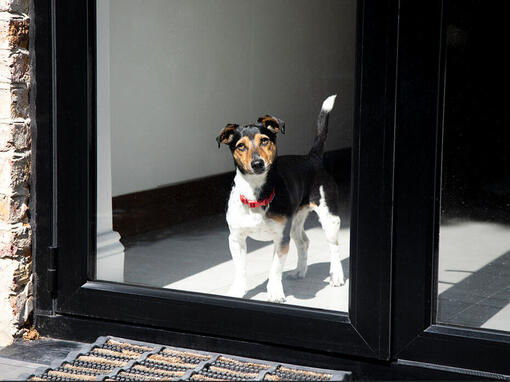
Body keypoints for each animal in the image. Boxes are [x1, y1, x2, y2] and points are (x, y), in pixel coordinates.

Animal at [215, 95, 342, 302]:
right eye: (240, 146)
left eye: (264, 141)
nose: (257, 163)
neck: (256, 195)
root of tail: (312, 158)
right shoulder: (235, 238)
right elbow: (240, 269)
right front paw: (237, 291)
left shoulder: (281, 239)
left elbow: (274, 270)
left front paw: (274, 293)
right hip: (295, 222)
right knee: (304, 241)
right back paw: (299, 272)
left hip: (329, 218)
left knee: (334, 247)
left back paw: (336, 276)